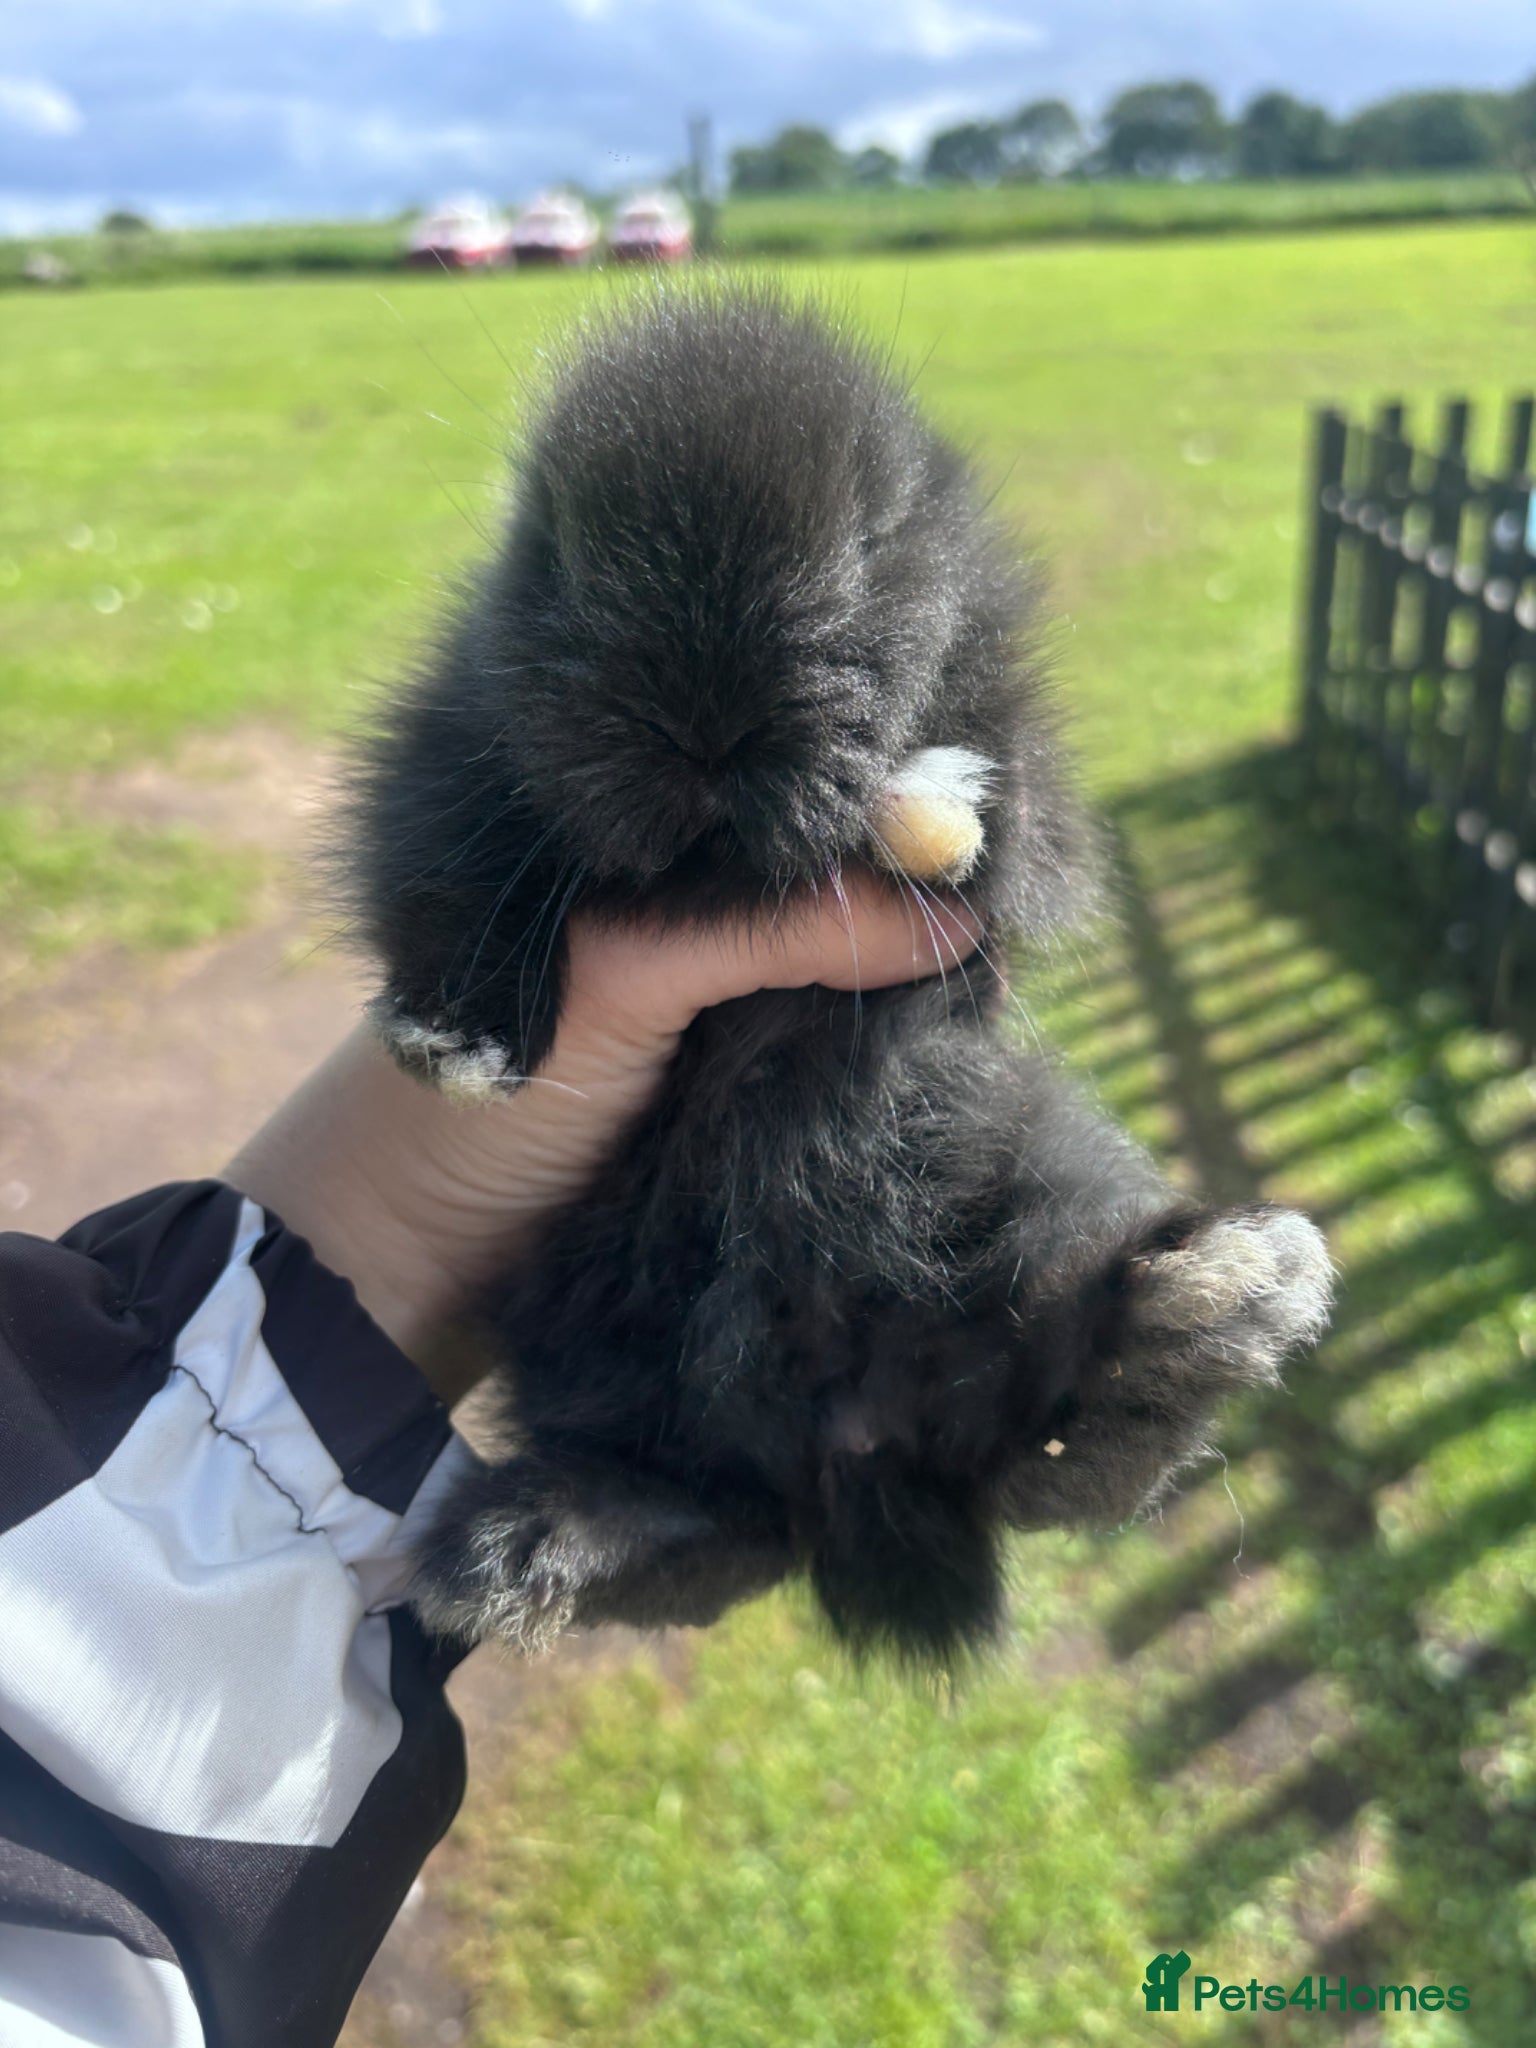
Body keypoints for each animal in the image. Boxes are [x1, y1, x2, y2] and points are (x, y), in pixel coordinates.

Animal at [340, 283, 1331, 1665]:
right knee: (728, 1529)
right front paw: (457, 1048)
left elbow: (1028, 839)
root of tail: (842, 1451)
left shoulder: (1028, 764)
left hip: (1010, 1175)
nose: (705, 724)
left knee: (1028, 1440)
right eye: (559, 549)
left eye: (870, 543)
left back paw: (1197, 1315)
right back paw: (526, 1550)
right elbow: (444, 877)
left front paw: (949, 807)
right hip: (607, 1356)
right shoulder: (456, 745)